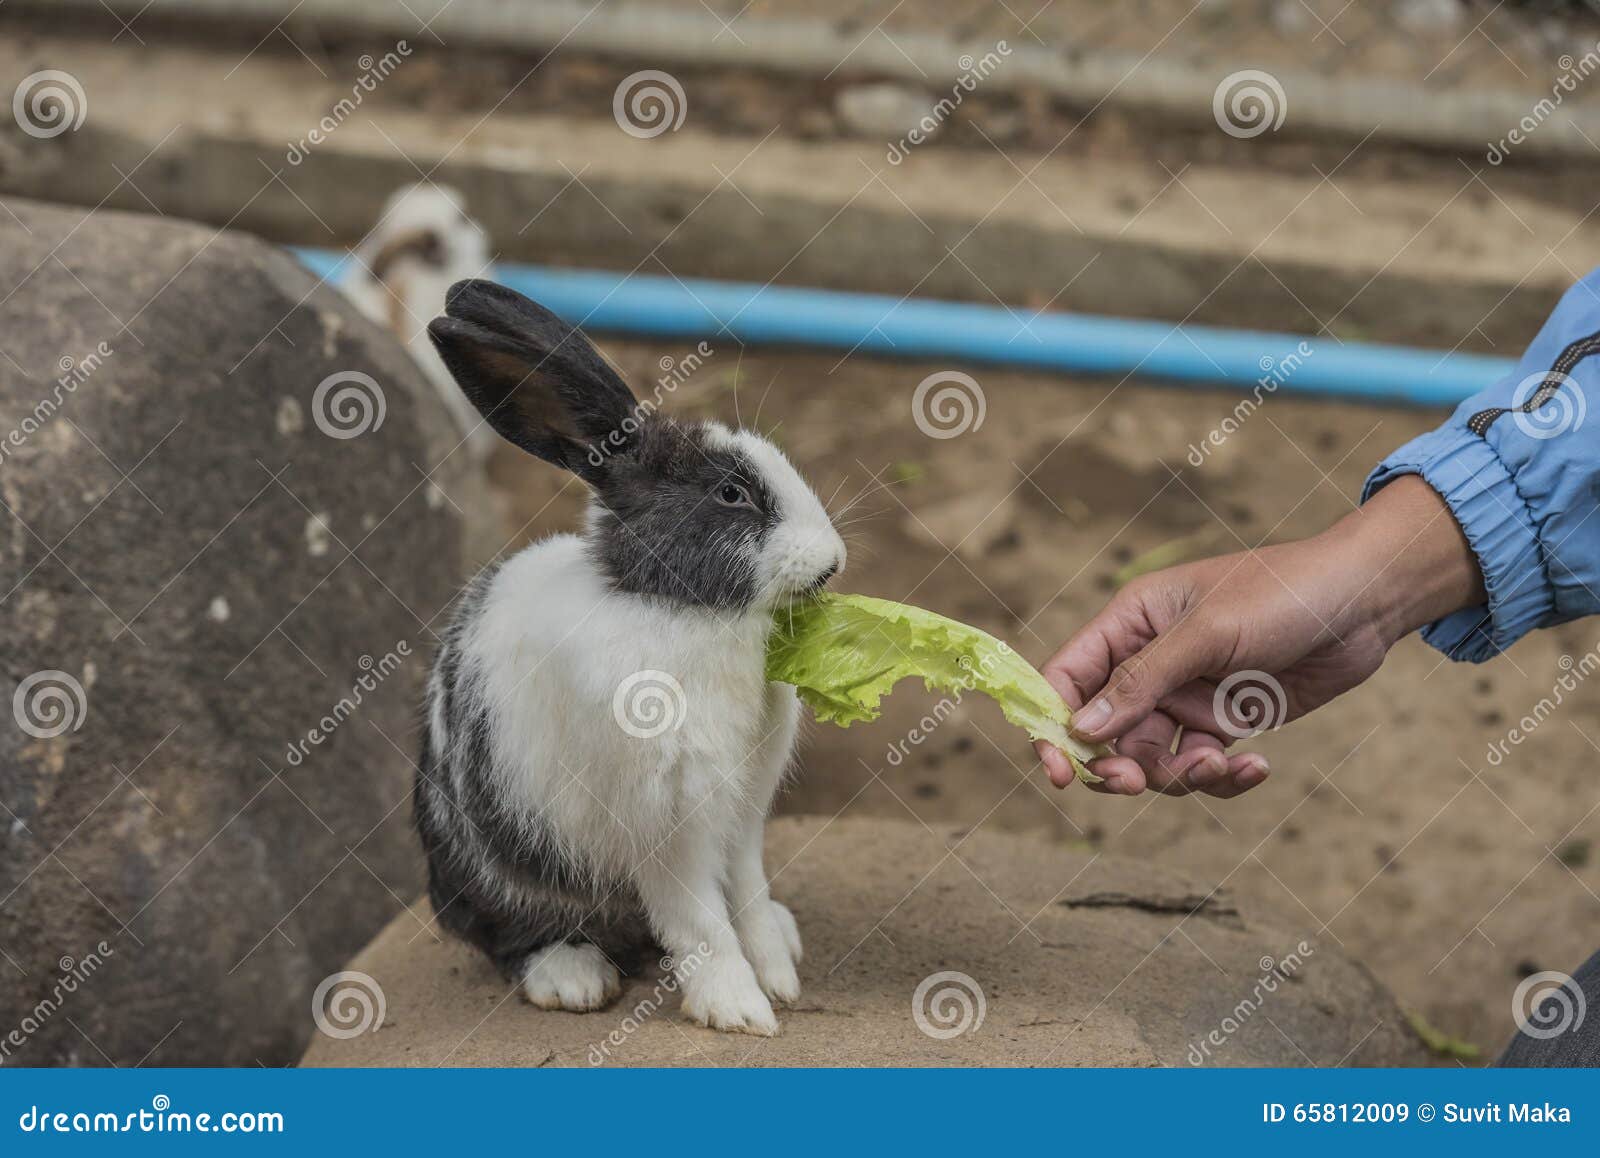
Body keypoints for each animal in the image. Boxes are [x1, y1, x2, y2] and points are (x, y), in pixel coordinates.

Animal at [414, 278, 847, 1036]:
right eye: (730, 493)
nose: (831, 564)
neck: (675, 607)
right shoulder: (666, 825)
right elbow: (702, 926)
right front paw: (741, 1012)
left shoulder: (741, 817)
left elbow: (748, 900)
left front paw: (780, 977)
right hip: (493, 873)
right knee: (507, 936)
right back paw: (572, 978)